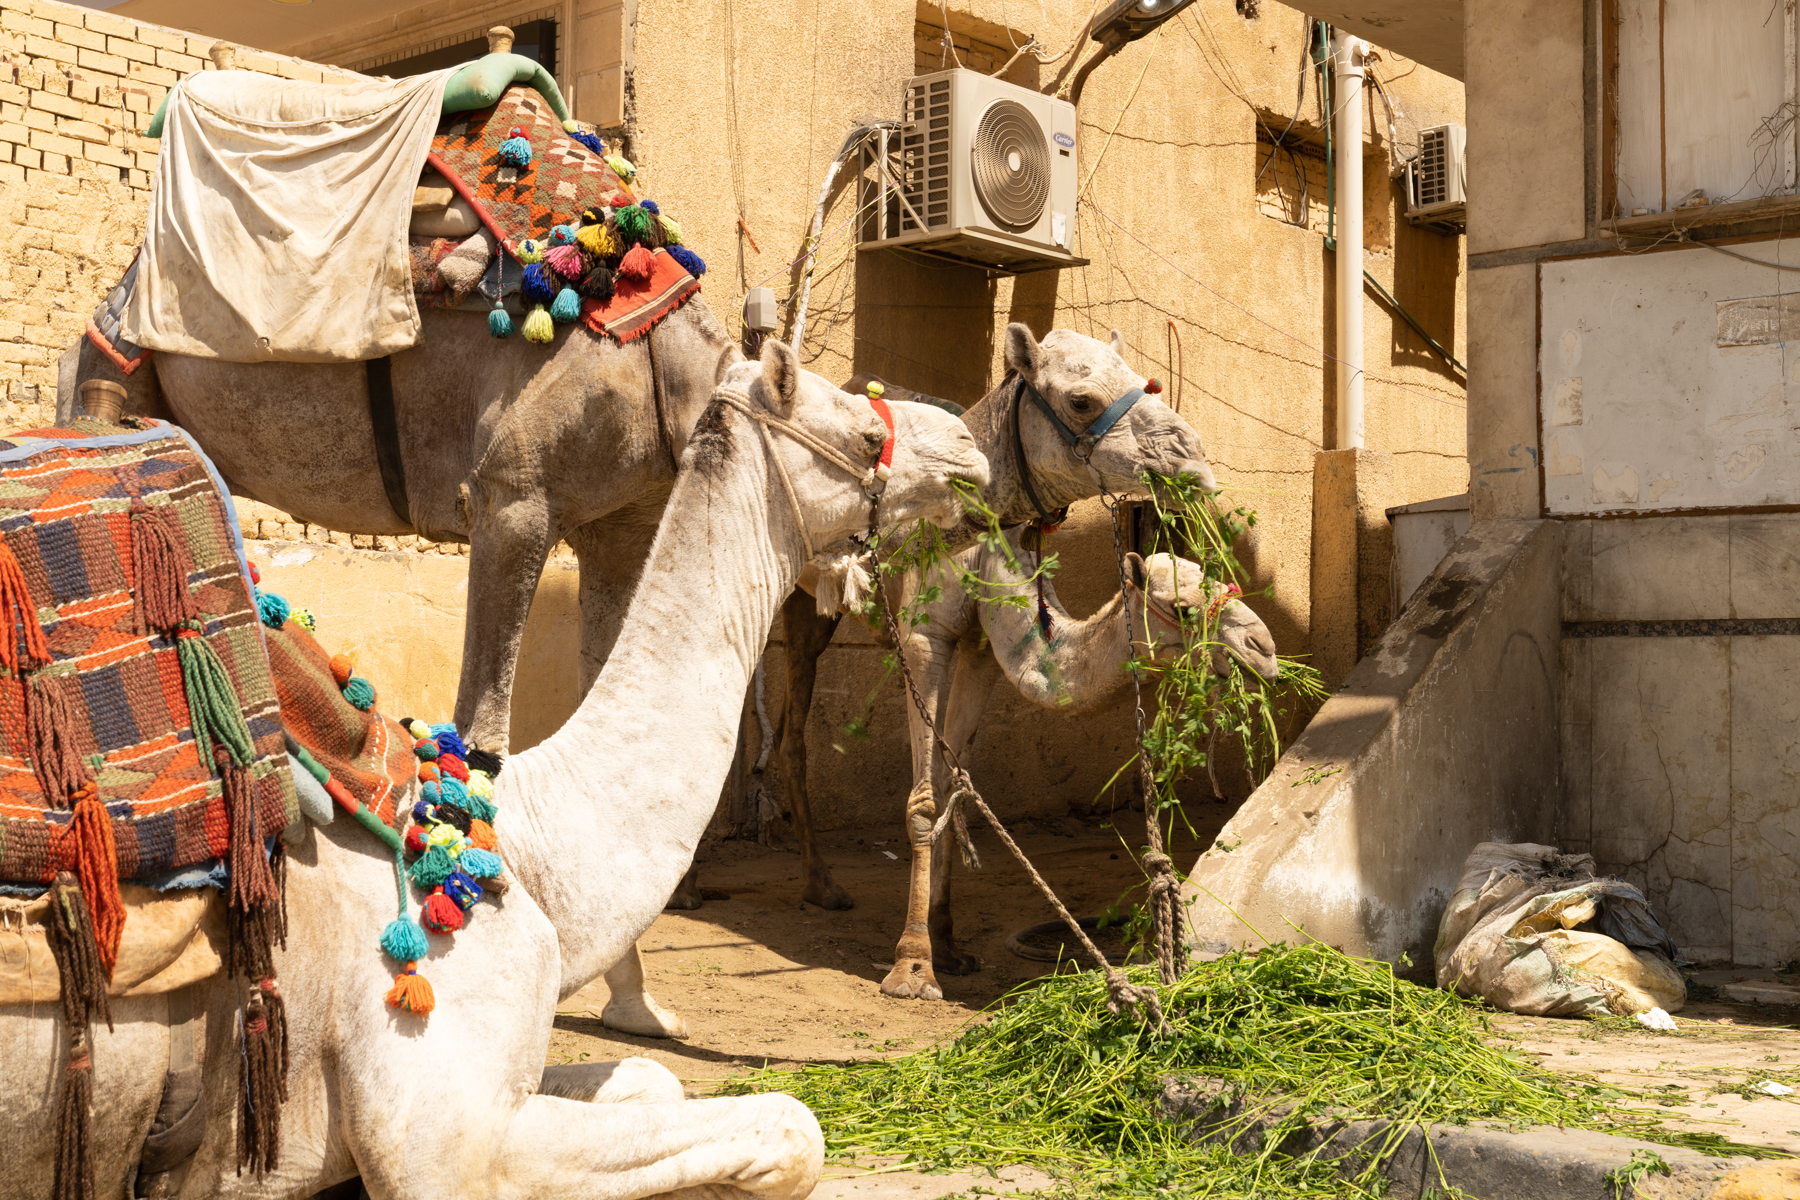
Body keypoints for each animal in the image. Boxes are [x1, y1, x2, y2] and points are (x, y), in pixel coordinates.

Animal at [2, 341, 989, 1200]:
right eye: (863, 433)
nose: (971, 450)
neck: (521, 839)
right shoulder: (440, 1130)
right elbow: (791, 1125)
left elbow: (657, 1078)